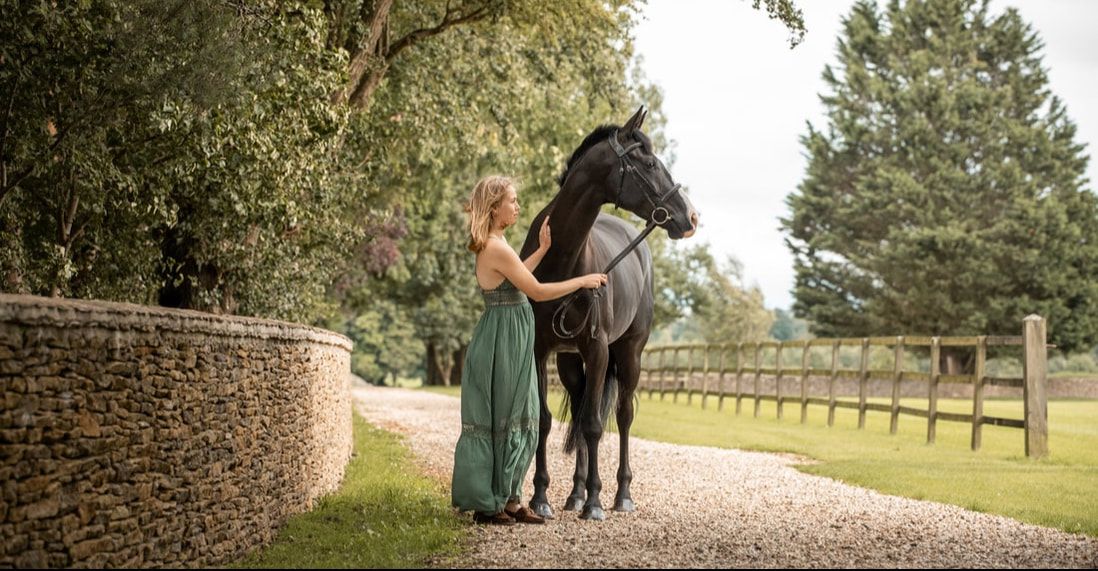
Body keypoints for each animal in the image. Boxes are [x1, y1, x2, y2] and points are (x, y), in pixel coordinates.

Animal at [519, 106, 699, 520]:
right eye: (649, 163)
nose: (691, 218)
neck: (562, 260)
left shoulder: (599, 349)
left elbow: (594, 425)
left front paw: (596, 502)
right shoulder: (540, 350)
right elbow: (548, 420)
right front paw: (541, 498)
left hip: (629, 353)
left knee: (622, 415)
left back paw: (621, 495)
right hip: (571, 362)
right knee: (581, 406)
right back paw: (574, 494)